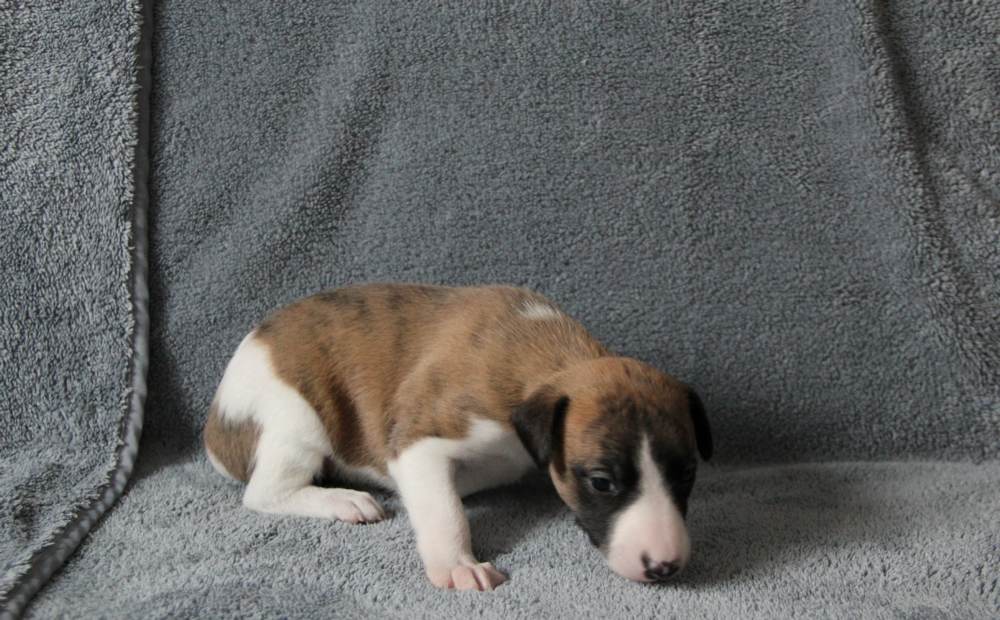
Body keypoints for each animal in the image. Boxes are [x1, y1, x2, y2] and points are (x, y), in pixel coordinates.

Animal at [203, 283, 712, 591]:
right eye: (602, 482)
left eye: (687, 473)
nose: (665, 567)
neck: (545, 356)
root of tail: (214, 429)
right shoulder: (420, 438)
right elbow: (444, 510)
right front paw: (457, 565)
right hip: (297, 419)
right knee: (266, 492)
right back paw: (342, 500)